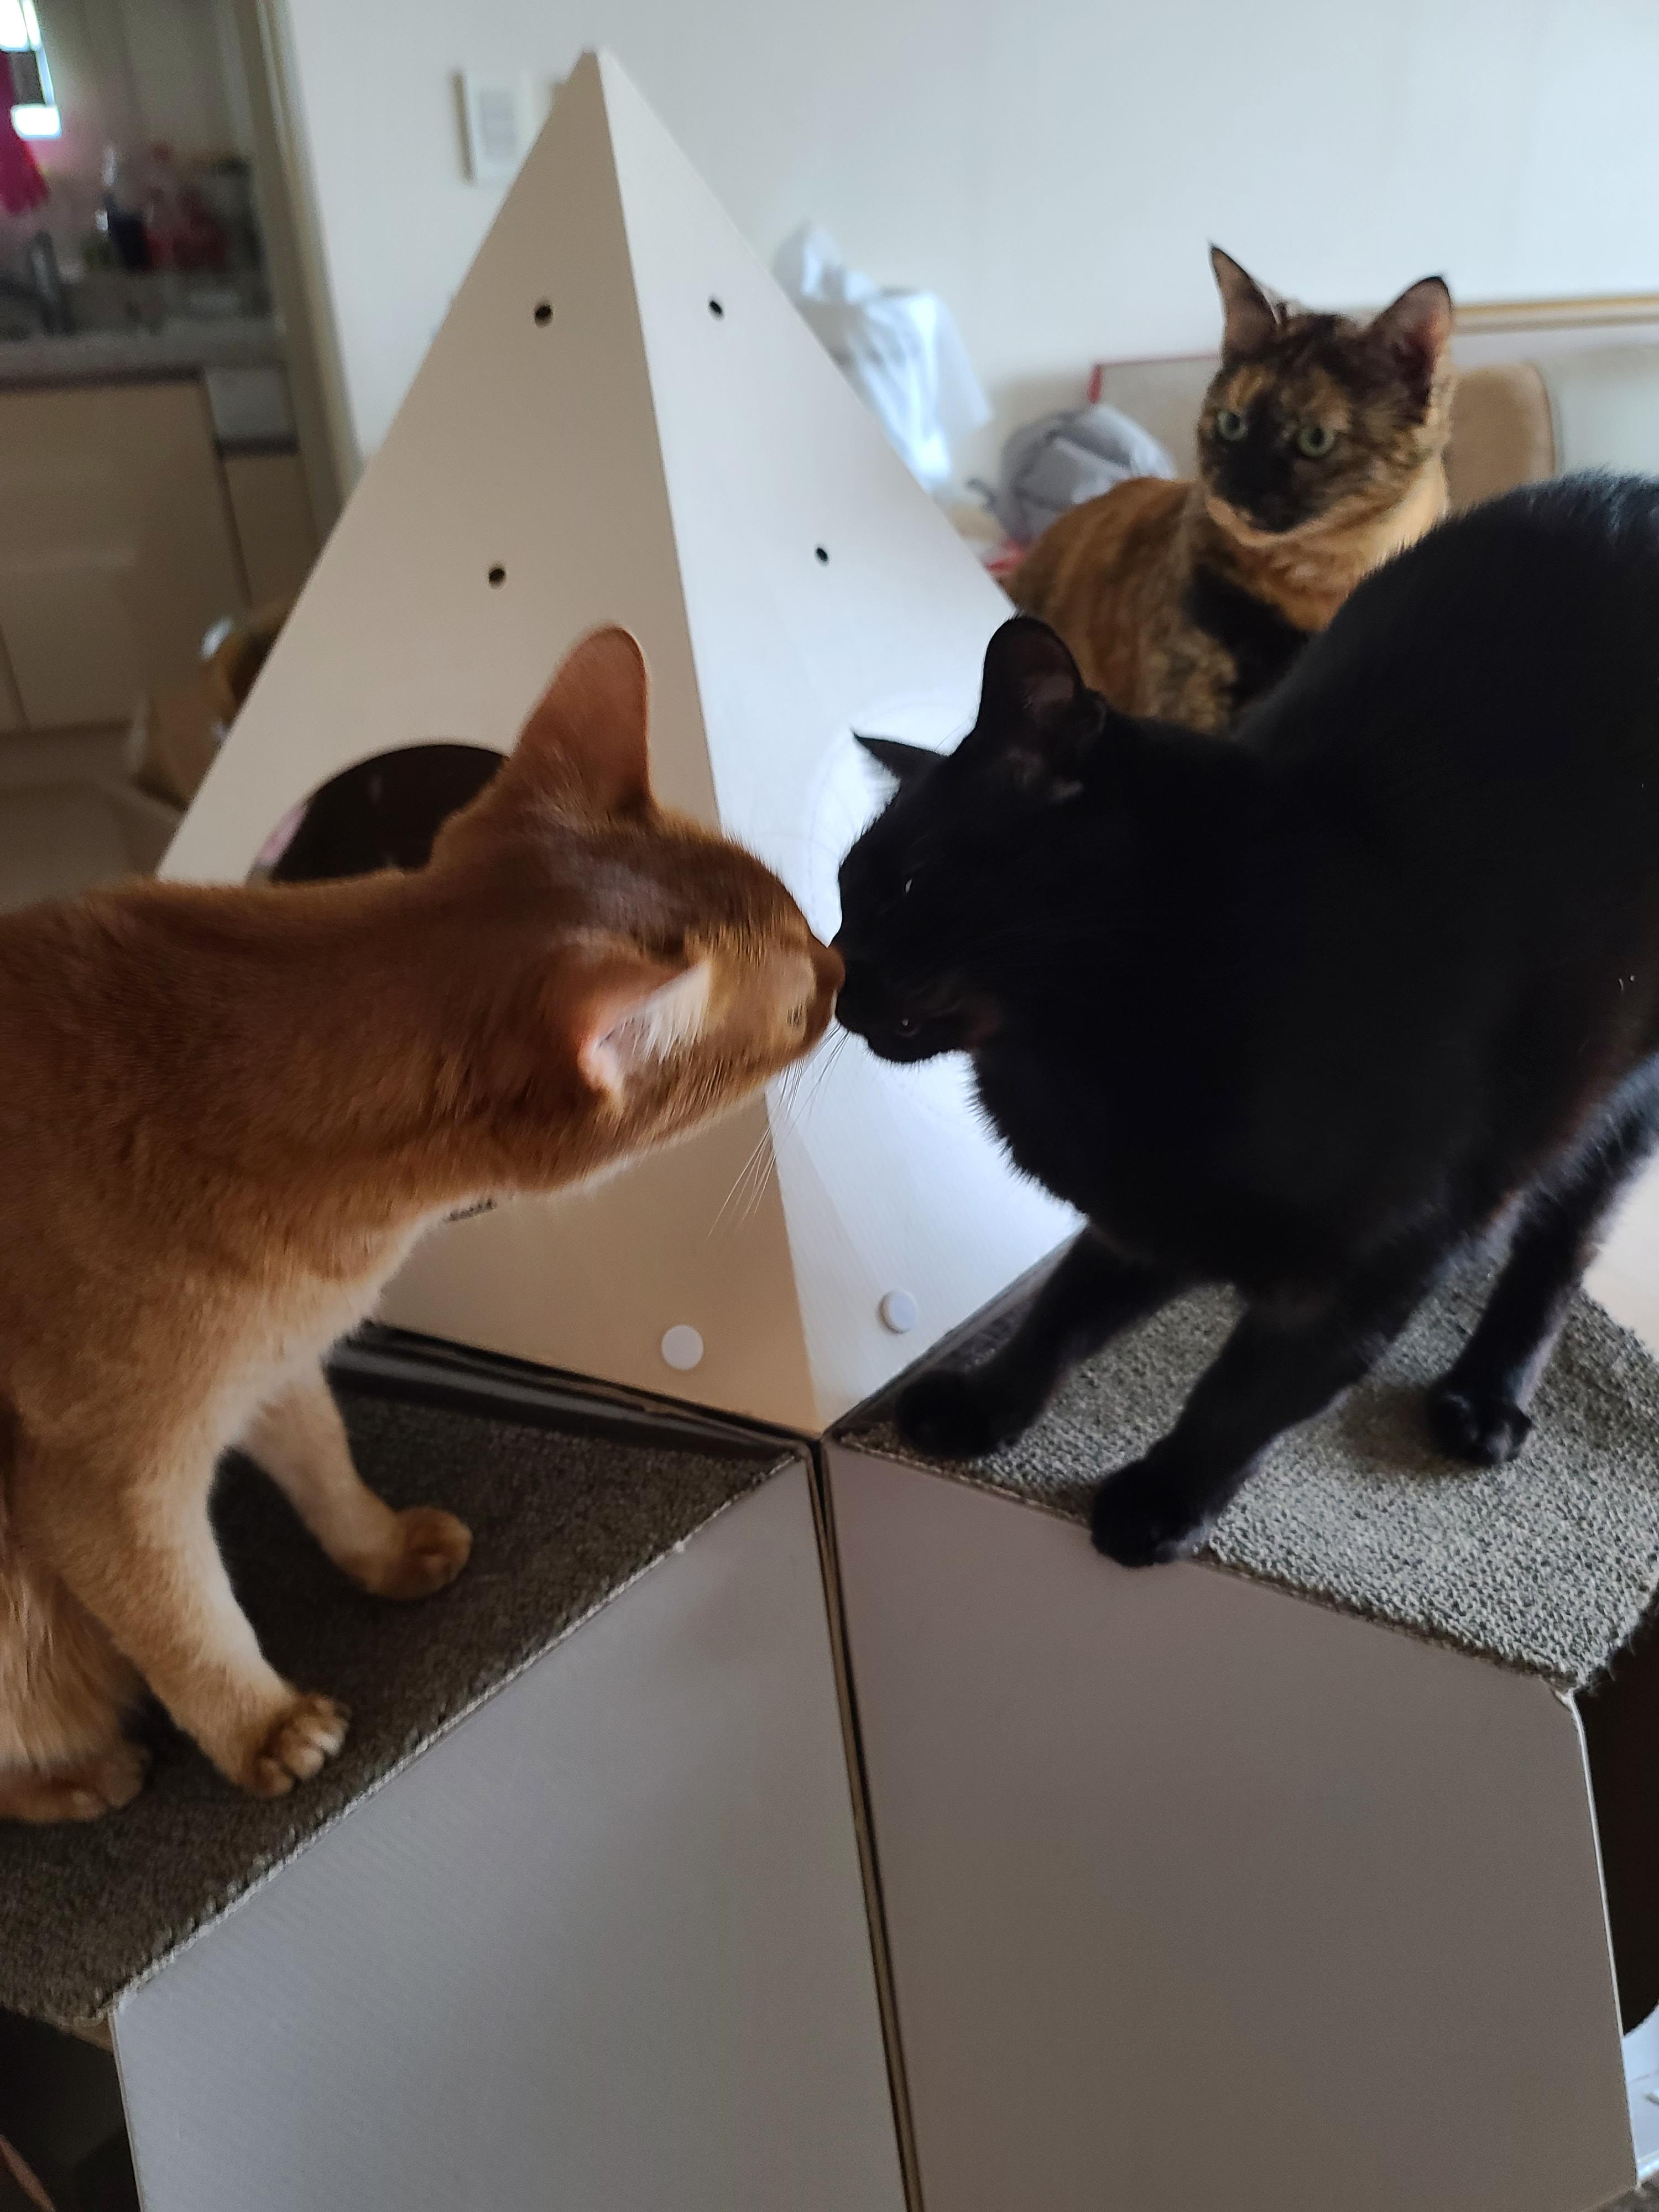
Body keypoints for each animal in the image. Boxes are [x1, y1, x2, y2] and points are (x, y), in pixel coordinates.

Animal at [0, 626, 840, 1822]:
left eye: (818, 933)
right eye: (803, 1005)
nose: (849, 967)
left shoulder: (279, 1358)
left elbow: (326, 1464)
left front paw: (389, 1549)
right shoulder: (105, 1484)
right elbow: (187, 1620)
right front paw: (265, 1727)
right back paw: (82, 1775)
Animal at [835, 475, 1659, 1568]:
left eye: (908, 886)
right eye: (842, 895)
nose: (838, 985)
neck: (1077, 1053)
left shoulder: (1382, 1260)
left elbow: (1247, 1394)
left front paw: (1162, 1500)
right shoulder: (1144, 1213)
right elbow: (1063, 1310)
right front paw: (984, 1405)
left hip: (1607, 1095)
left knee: (1559, 1244)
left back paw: (1485, 1397)